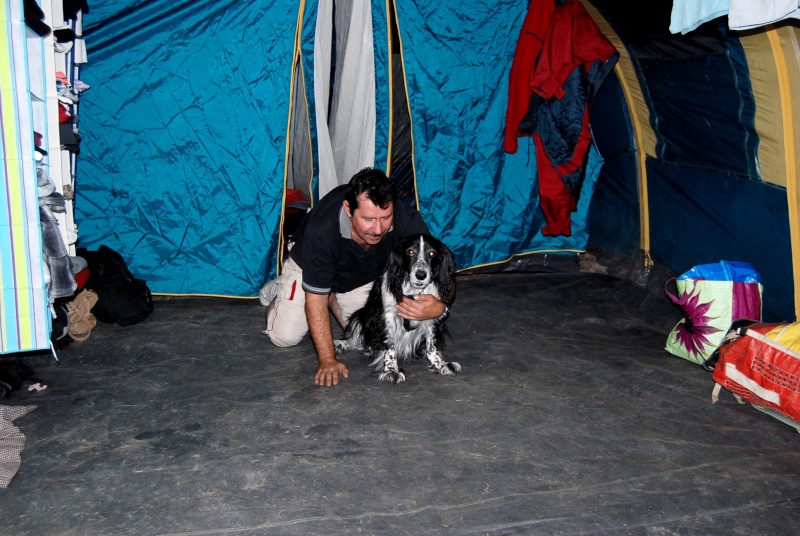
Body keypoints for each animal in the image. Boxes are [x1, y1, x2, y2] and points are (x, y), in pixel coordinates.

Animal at [334, 233, 460, 382]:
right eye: (410, 252)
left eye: (432, 253)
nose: (421, 275)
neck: (412, 291)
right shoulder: (387, 316)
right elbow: (390, 345)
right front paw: (391, 369)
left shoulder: (430, 315)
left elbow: (431, 345)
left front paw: (440, 364)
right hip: (359, 316)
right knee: (357, 338)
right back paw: (341, 344)